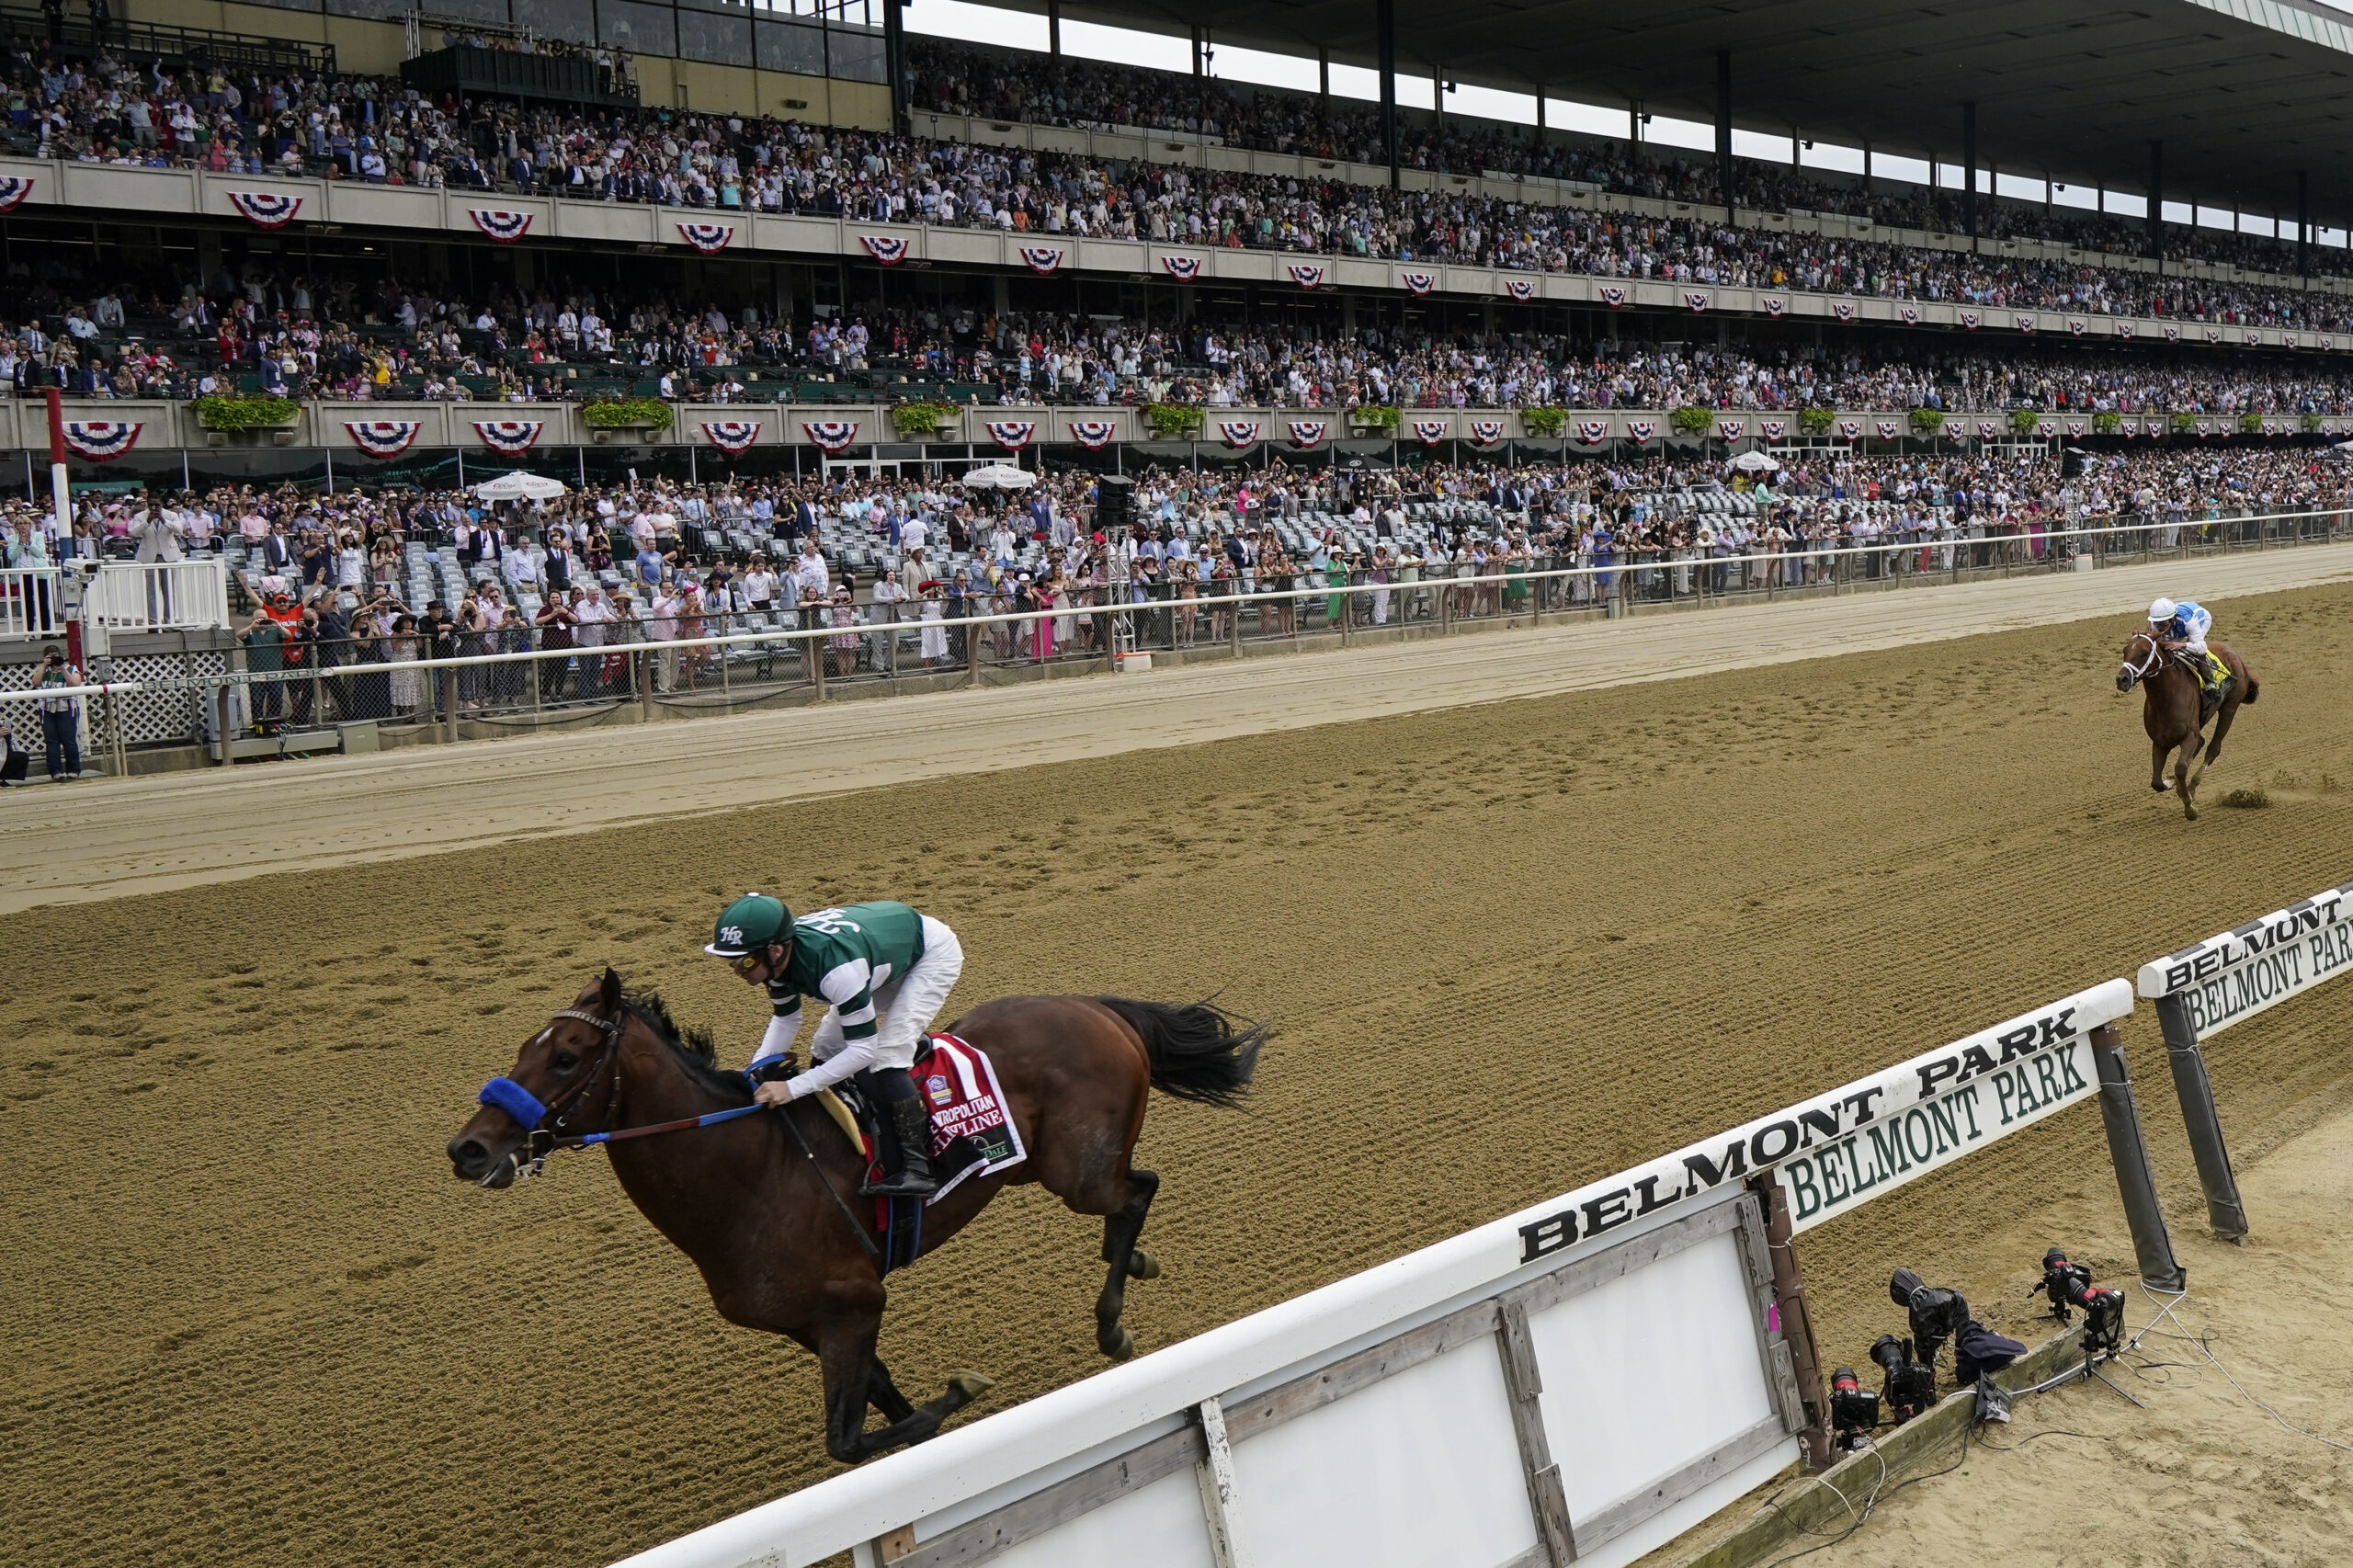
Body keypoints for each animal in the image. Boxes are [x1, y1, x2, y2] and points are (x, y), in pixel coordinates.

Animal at [451, 970, 1279, 1460]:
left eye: (565, 1056)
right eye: (523, 1048)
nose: (468, 1147)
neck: (746, 1176)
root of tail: (1094, 1006)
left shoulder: (854, 1302)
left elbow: (846, 1442)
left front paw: (959, 1393)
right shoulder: (814, 1320)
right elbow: (877, 1401)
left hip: (1073, 1171)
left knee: (1138, 1188)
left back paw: (1111, 1320)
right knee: (1131, 1194)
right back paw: (1130, 1261)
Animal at [2118, 631, 2258, 819]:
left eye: (2145, 653)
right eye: (2125, 650)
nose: (2121, 679)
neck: (2166, 698)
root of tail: (2236, 656)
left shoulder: (2189, 736)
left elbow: (2181, 768)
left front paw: (2190, 807)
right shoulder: (2160, 742)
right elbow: (2156, 782)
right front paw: (2171, 783)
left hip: (2229, 708)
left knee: (2212, 749)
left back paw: (2191, 787)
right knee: (2202, 742)